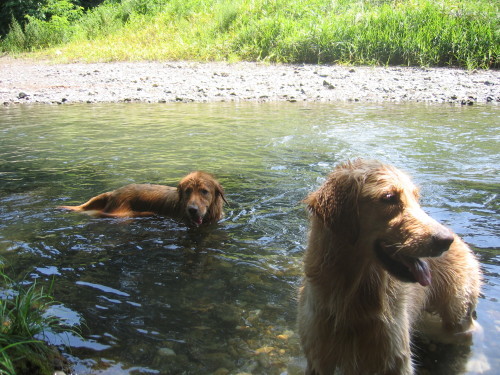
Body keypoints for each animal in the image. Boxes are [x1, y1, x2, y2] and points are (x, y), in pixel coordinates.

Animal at [298, 159, 482, 375]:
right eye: (389, 197)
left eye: (416, 198)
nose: (446, 241)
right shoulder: (318, 355)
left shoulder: (393, 356)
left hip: (457, 311)